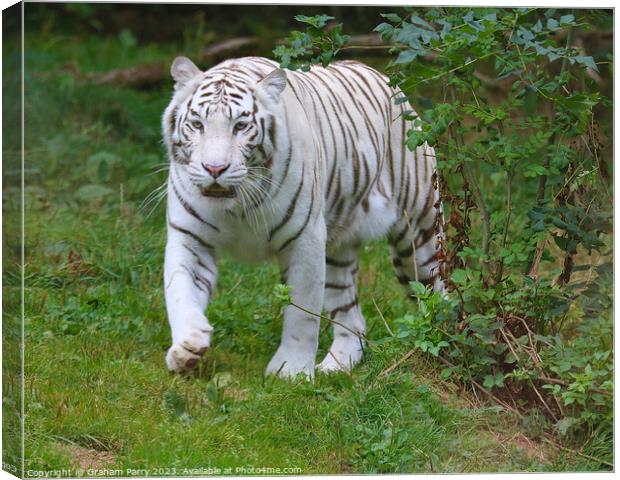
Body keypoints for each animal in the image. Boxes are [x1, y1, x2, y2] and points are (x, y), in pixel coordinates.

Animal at [160, 55, 444, 378]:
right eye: (197, 124)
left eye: (240, 126)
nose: (215, 168)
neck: (236, 204)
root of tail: (385, 78)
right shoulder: (189, 239)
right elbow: (180, 291)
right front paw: (187, 347)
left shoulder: (304, 238)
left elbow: (301, 314)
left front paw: (290, 372)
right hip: (337, 249)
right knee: (352, 317)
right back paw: (336, 366)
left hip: (419, 235)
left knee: (440, 293)